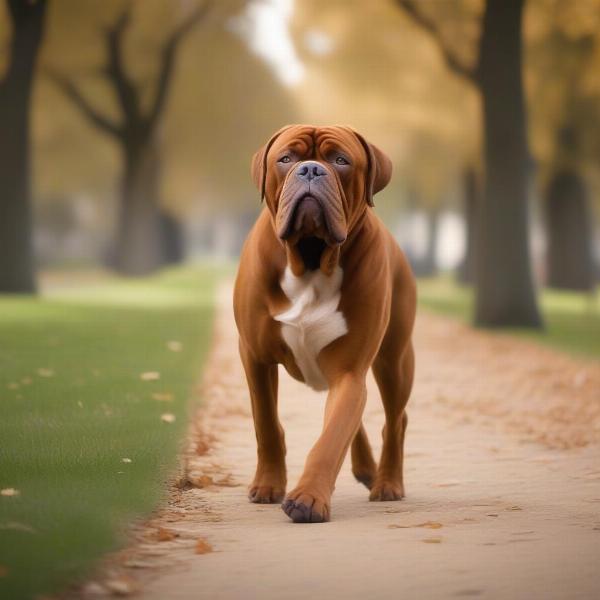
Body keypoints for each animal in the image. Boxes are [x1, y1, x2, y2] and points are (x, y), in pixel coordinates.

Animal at [232, 124, 414, 524]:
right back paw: (367, 468)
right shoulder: (255, 356)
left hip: (394, 361)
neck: (312, 259)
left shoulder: (349, 368)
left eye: (341, 160)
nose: (311, 169)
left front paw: (309, 498)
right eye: (286, 158)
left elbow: (332, 437)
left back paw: (387, 482)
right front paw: (268, 484)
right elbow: (266, 422)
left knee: (395, 420)